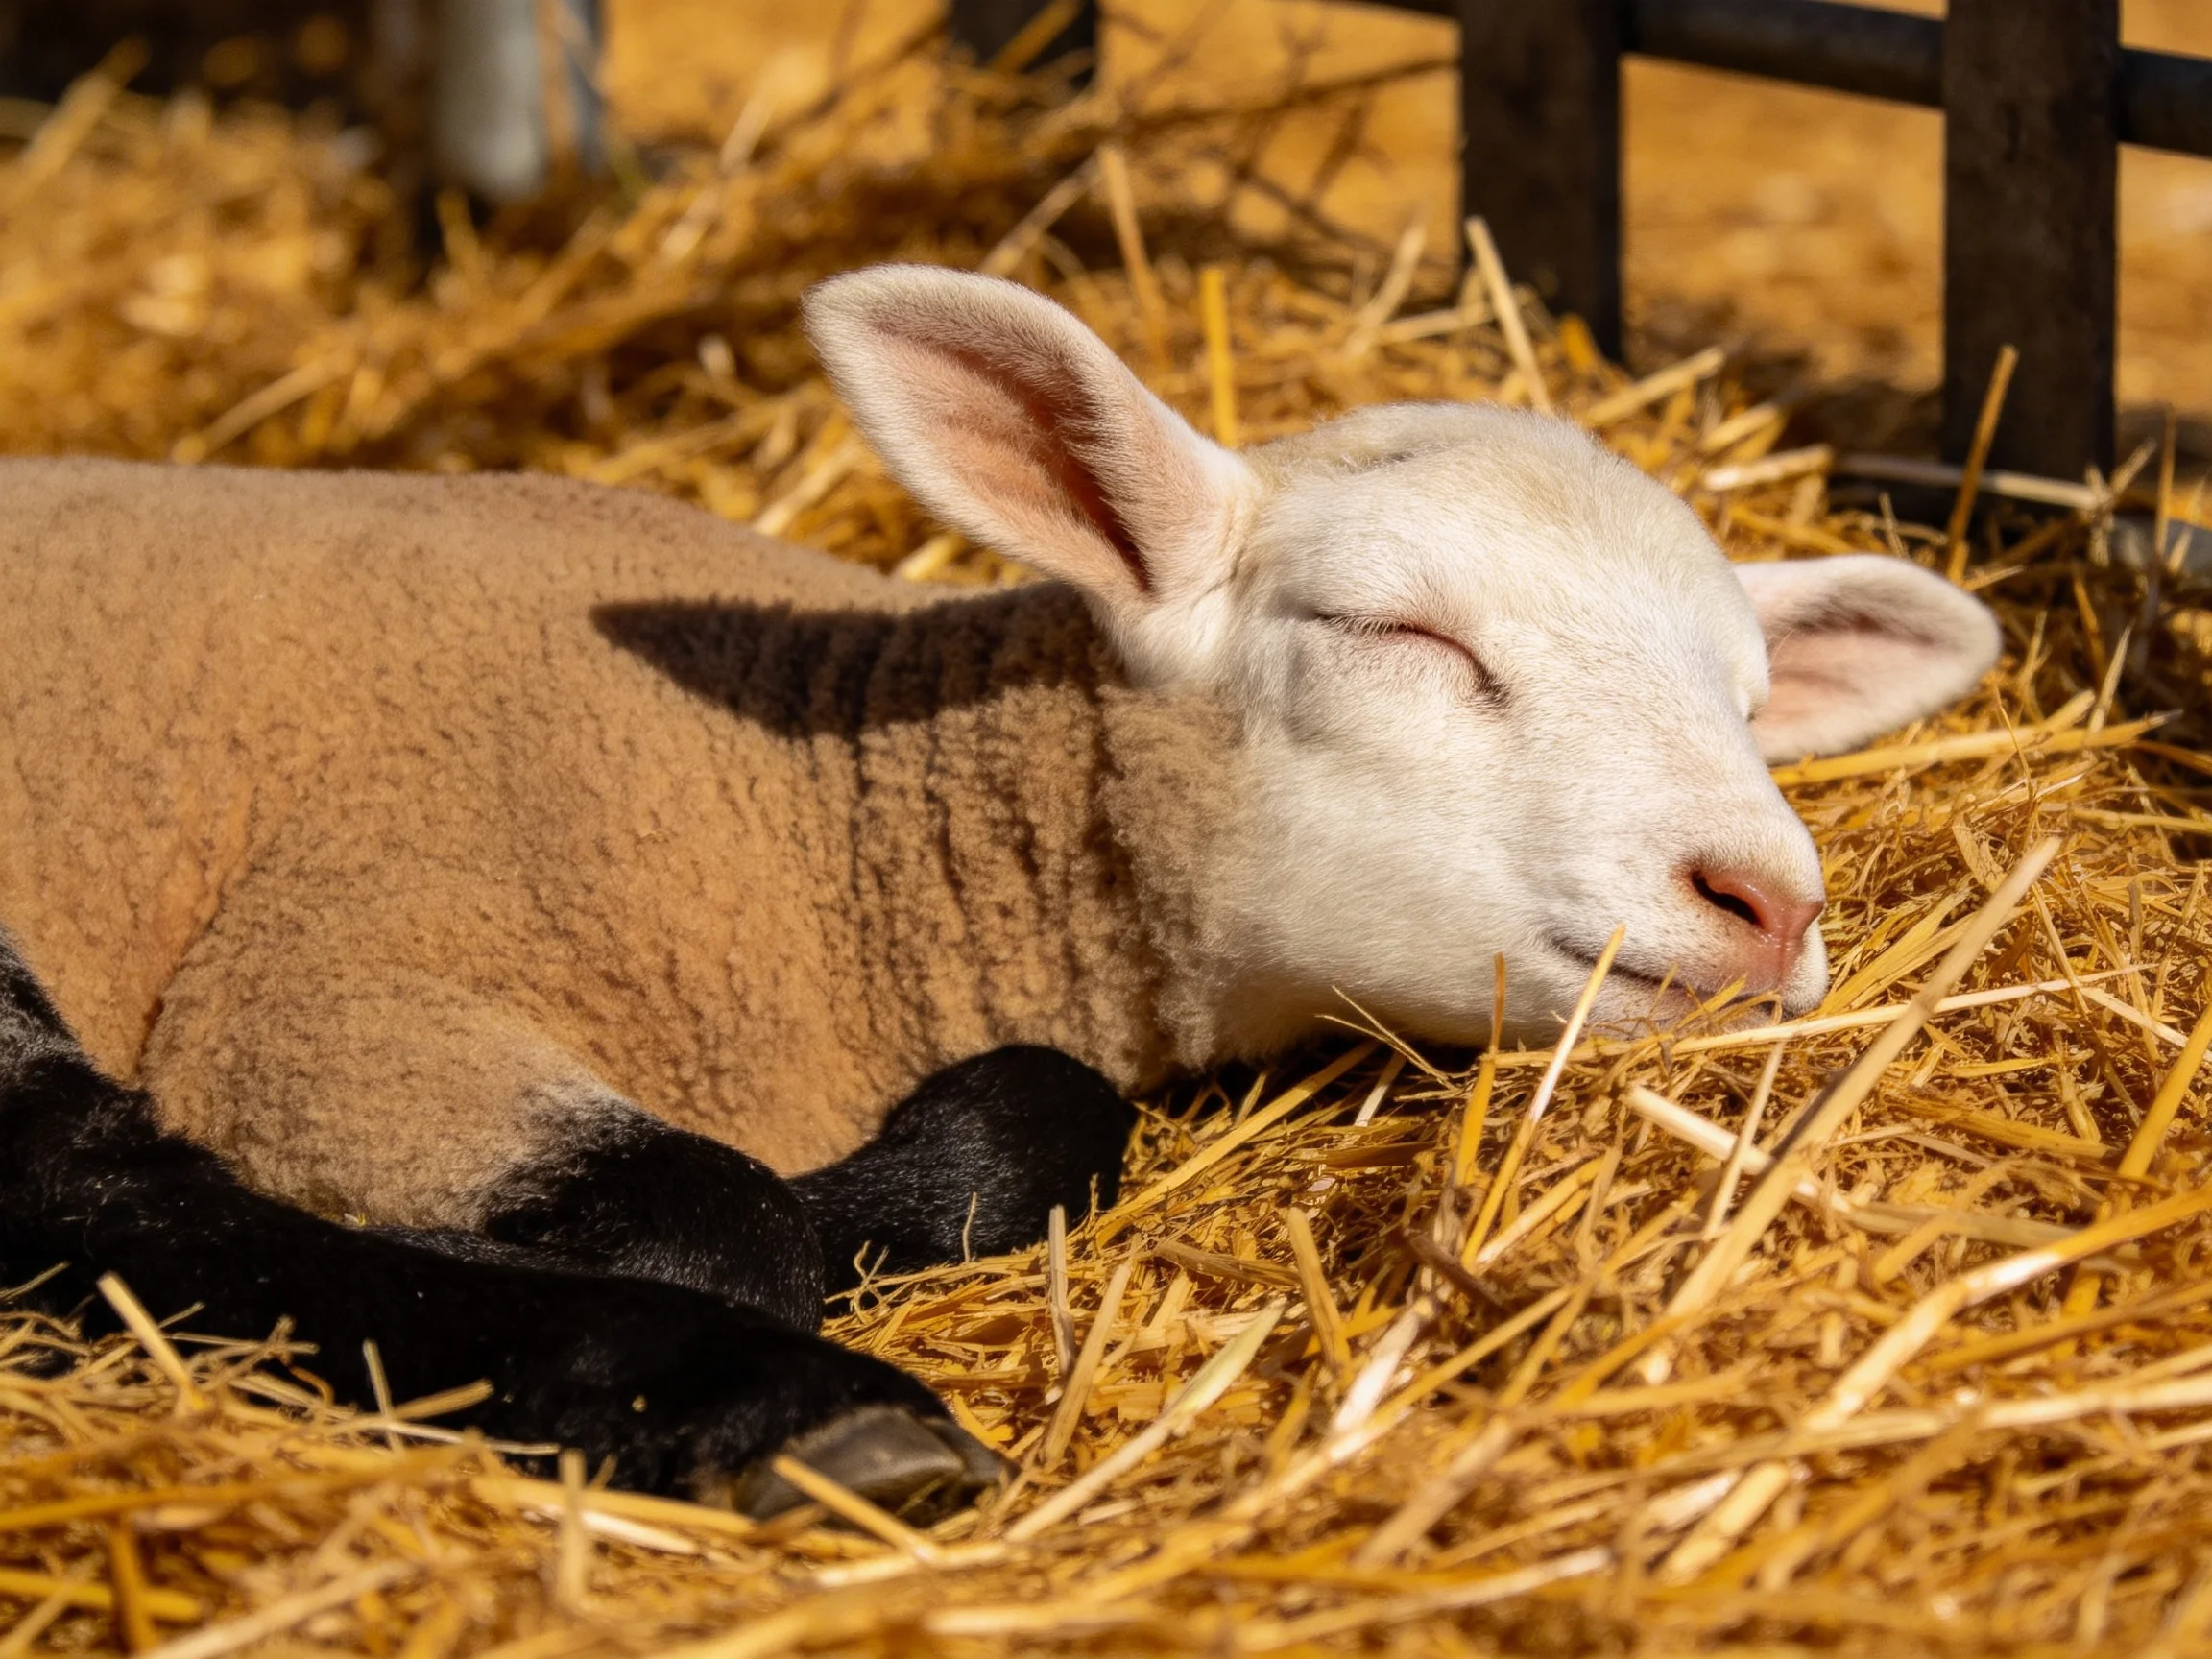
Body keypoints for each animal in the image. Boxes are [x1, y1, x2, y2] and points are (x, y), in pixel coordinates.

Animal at [0, 265, 2000, 1514]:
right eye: (1396, 633)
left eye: (1746, 700)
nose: (1764, 899)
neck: (822, 823)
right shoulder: (332, 982)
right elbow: (722, 1213)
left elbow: (1045, 1114)